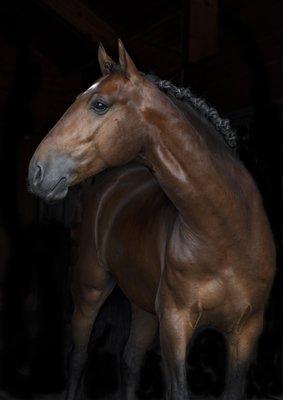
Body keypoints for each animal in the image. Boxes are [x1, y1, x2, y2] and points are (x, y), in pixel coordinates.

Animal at [27, 41, 276, 400]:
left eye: (99, 104)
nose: (37, 171)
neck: (227, 235)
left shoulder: (246, 331)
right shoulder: (175, 324)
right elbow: (177, 391)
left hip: (143, 308)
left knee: (130, 360)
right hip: (90, 291)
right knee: (78, 358)